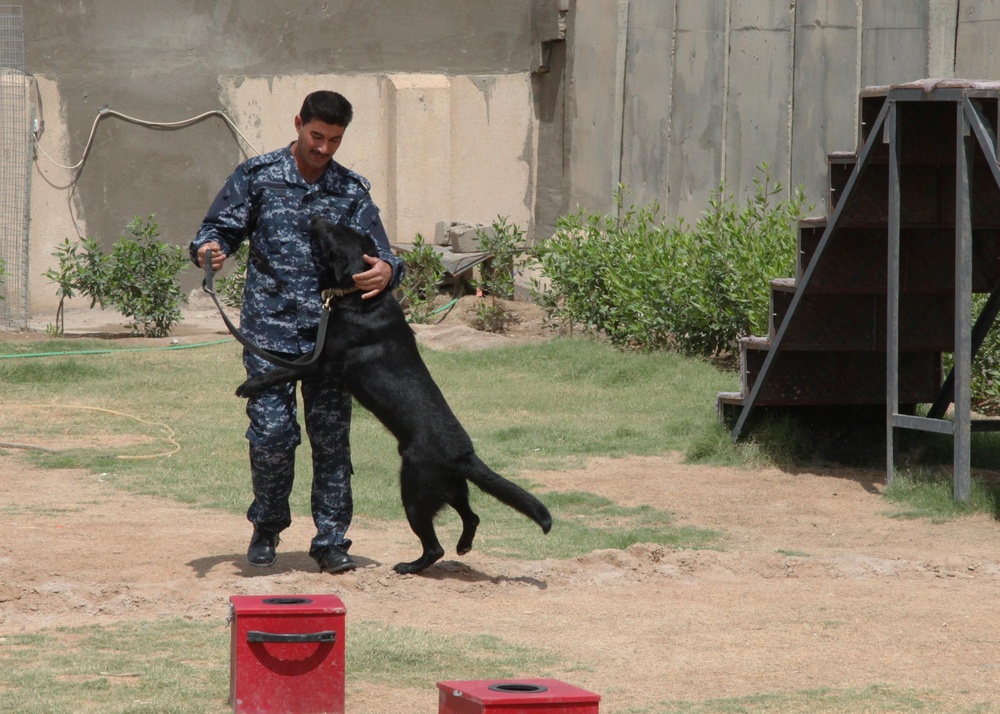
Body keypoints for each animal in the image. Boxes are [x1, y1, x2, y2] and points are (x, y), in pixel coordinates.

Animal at [236, 217, 556, 572]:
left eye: (332, 233)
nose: (316, 218)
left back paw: (410, 566)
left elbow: (284, 369)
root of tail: (463, 456)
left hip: (414, 492)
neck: (363, 297)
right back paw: (462, 547)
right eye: (341, 226)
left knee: (435, 547)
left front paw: (249, 386)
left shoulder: (322, 363)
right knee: (472, 517)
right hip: (452, 490)